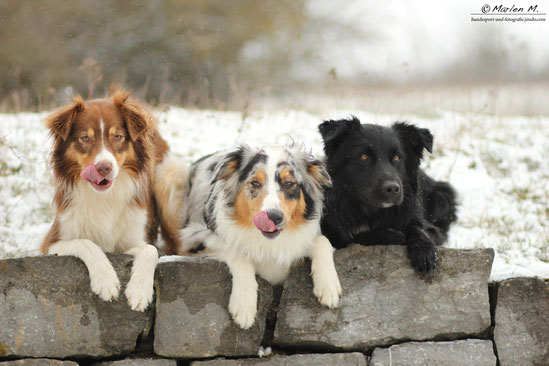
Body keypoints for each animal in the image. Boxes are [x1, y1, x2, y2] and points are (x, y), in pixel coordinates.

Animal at [41, 91, 182, 312]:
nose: (104, 168)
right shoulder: (51, 242)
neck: (104, 197)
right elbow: (87, 242)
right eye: (85, 138)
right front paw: (105, 280)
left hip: (168, 176)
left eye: (118, 137)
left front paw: (139, 291)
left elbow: (150, 250)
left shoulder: (134, 236)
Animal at [318, 117, 456, 274]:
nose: (393, 188)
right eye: (364, 156)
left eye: (397, 158)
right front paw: (390, 235)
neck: (371, 212)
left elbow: (419, 229)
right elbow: (353, 237)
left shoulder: (429, 227)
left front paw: (424, 250)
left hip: (441, 198)